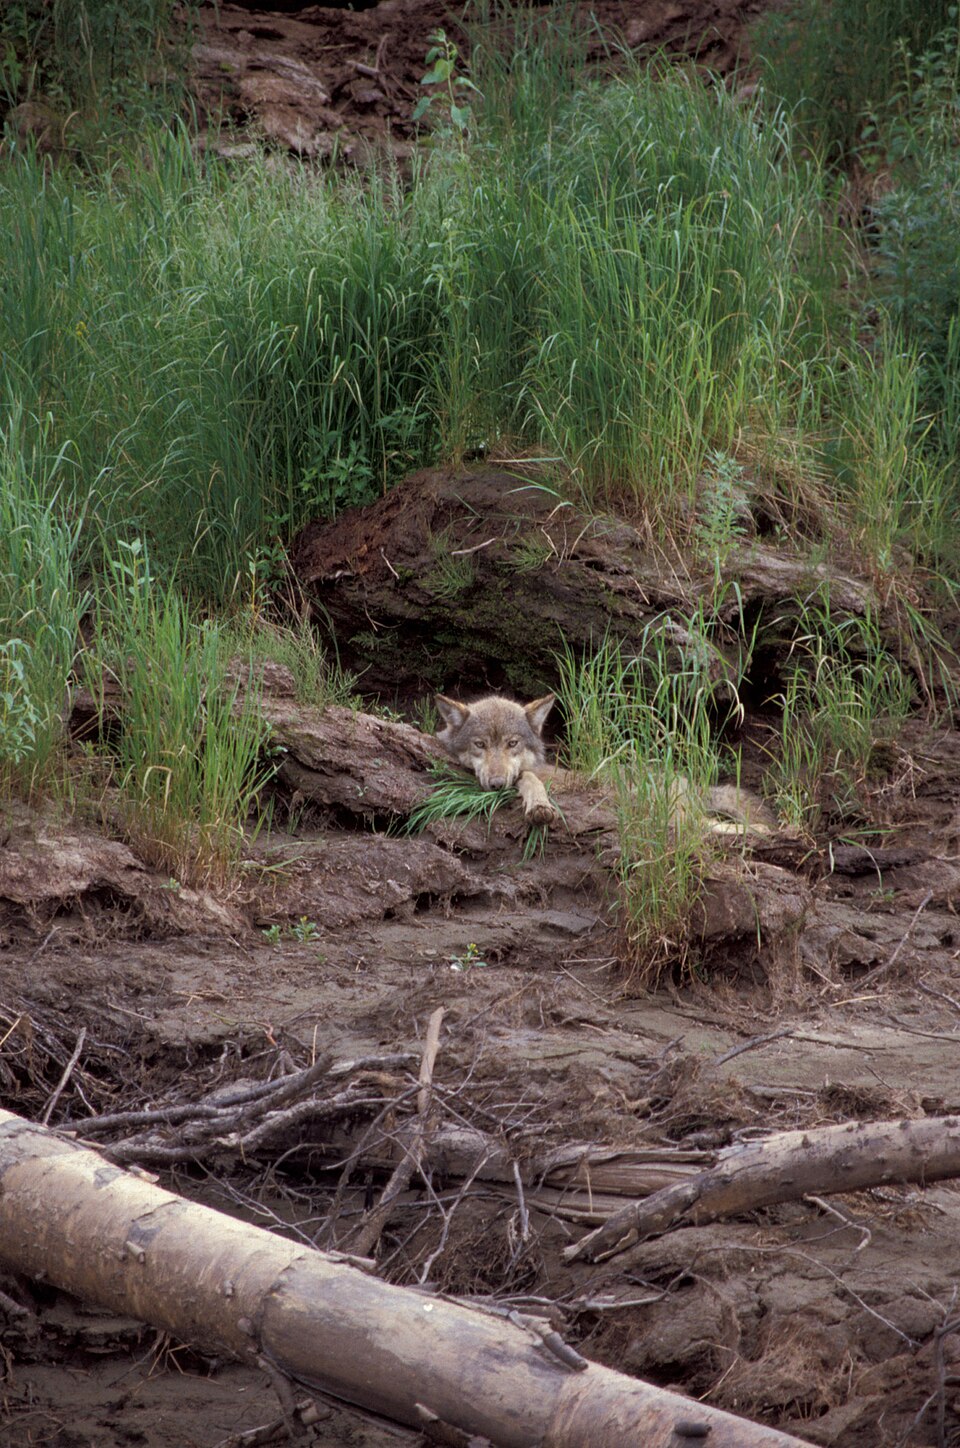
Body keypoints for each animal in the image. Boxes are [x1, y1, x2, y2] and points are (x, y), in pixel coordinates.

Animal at [434, 692, 775, 834]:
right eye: (480, 744)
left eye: (512, 743)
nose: (496, 784)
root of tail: (693, 784)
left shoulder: (529, 774)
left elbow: (530, 780)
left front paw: (540, 806)